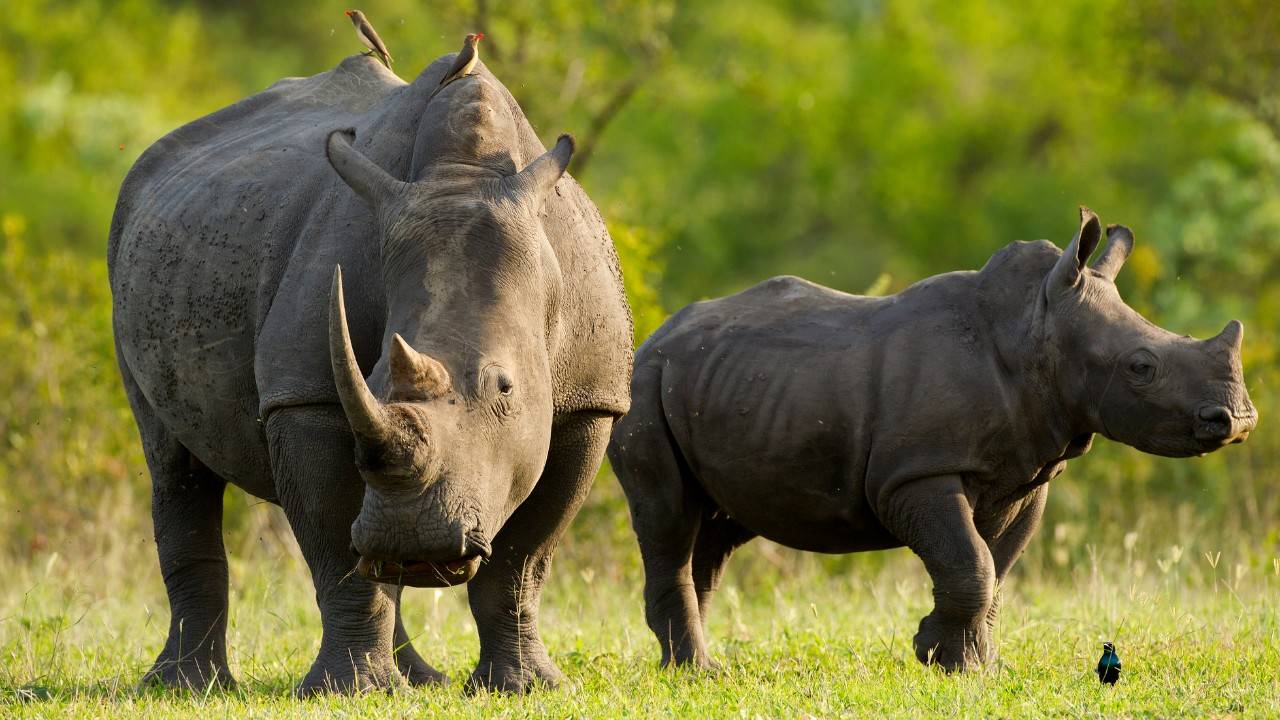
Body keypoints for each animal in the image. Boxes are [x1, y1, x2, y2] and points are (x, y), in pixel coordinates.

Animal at [606, 207, 1249, 666]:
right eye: (1142, 367)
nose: (1237, 420)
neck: (1036, 329)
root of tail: (653, 336)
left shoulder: (1024, 474)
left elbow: (994, 568)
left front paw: (970, 662)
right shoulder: (917, 472)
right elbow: (971, 564)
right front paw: (944, 659)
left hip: (721, 384)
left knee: (714, 530)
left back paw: (693, 664)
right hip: (644, 388)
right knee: (669, 517)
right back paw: (698, 672)